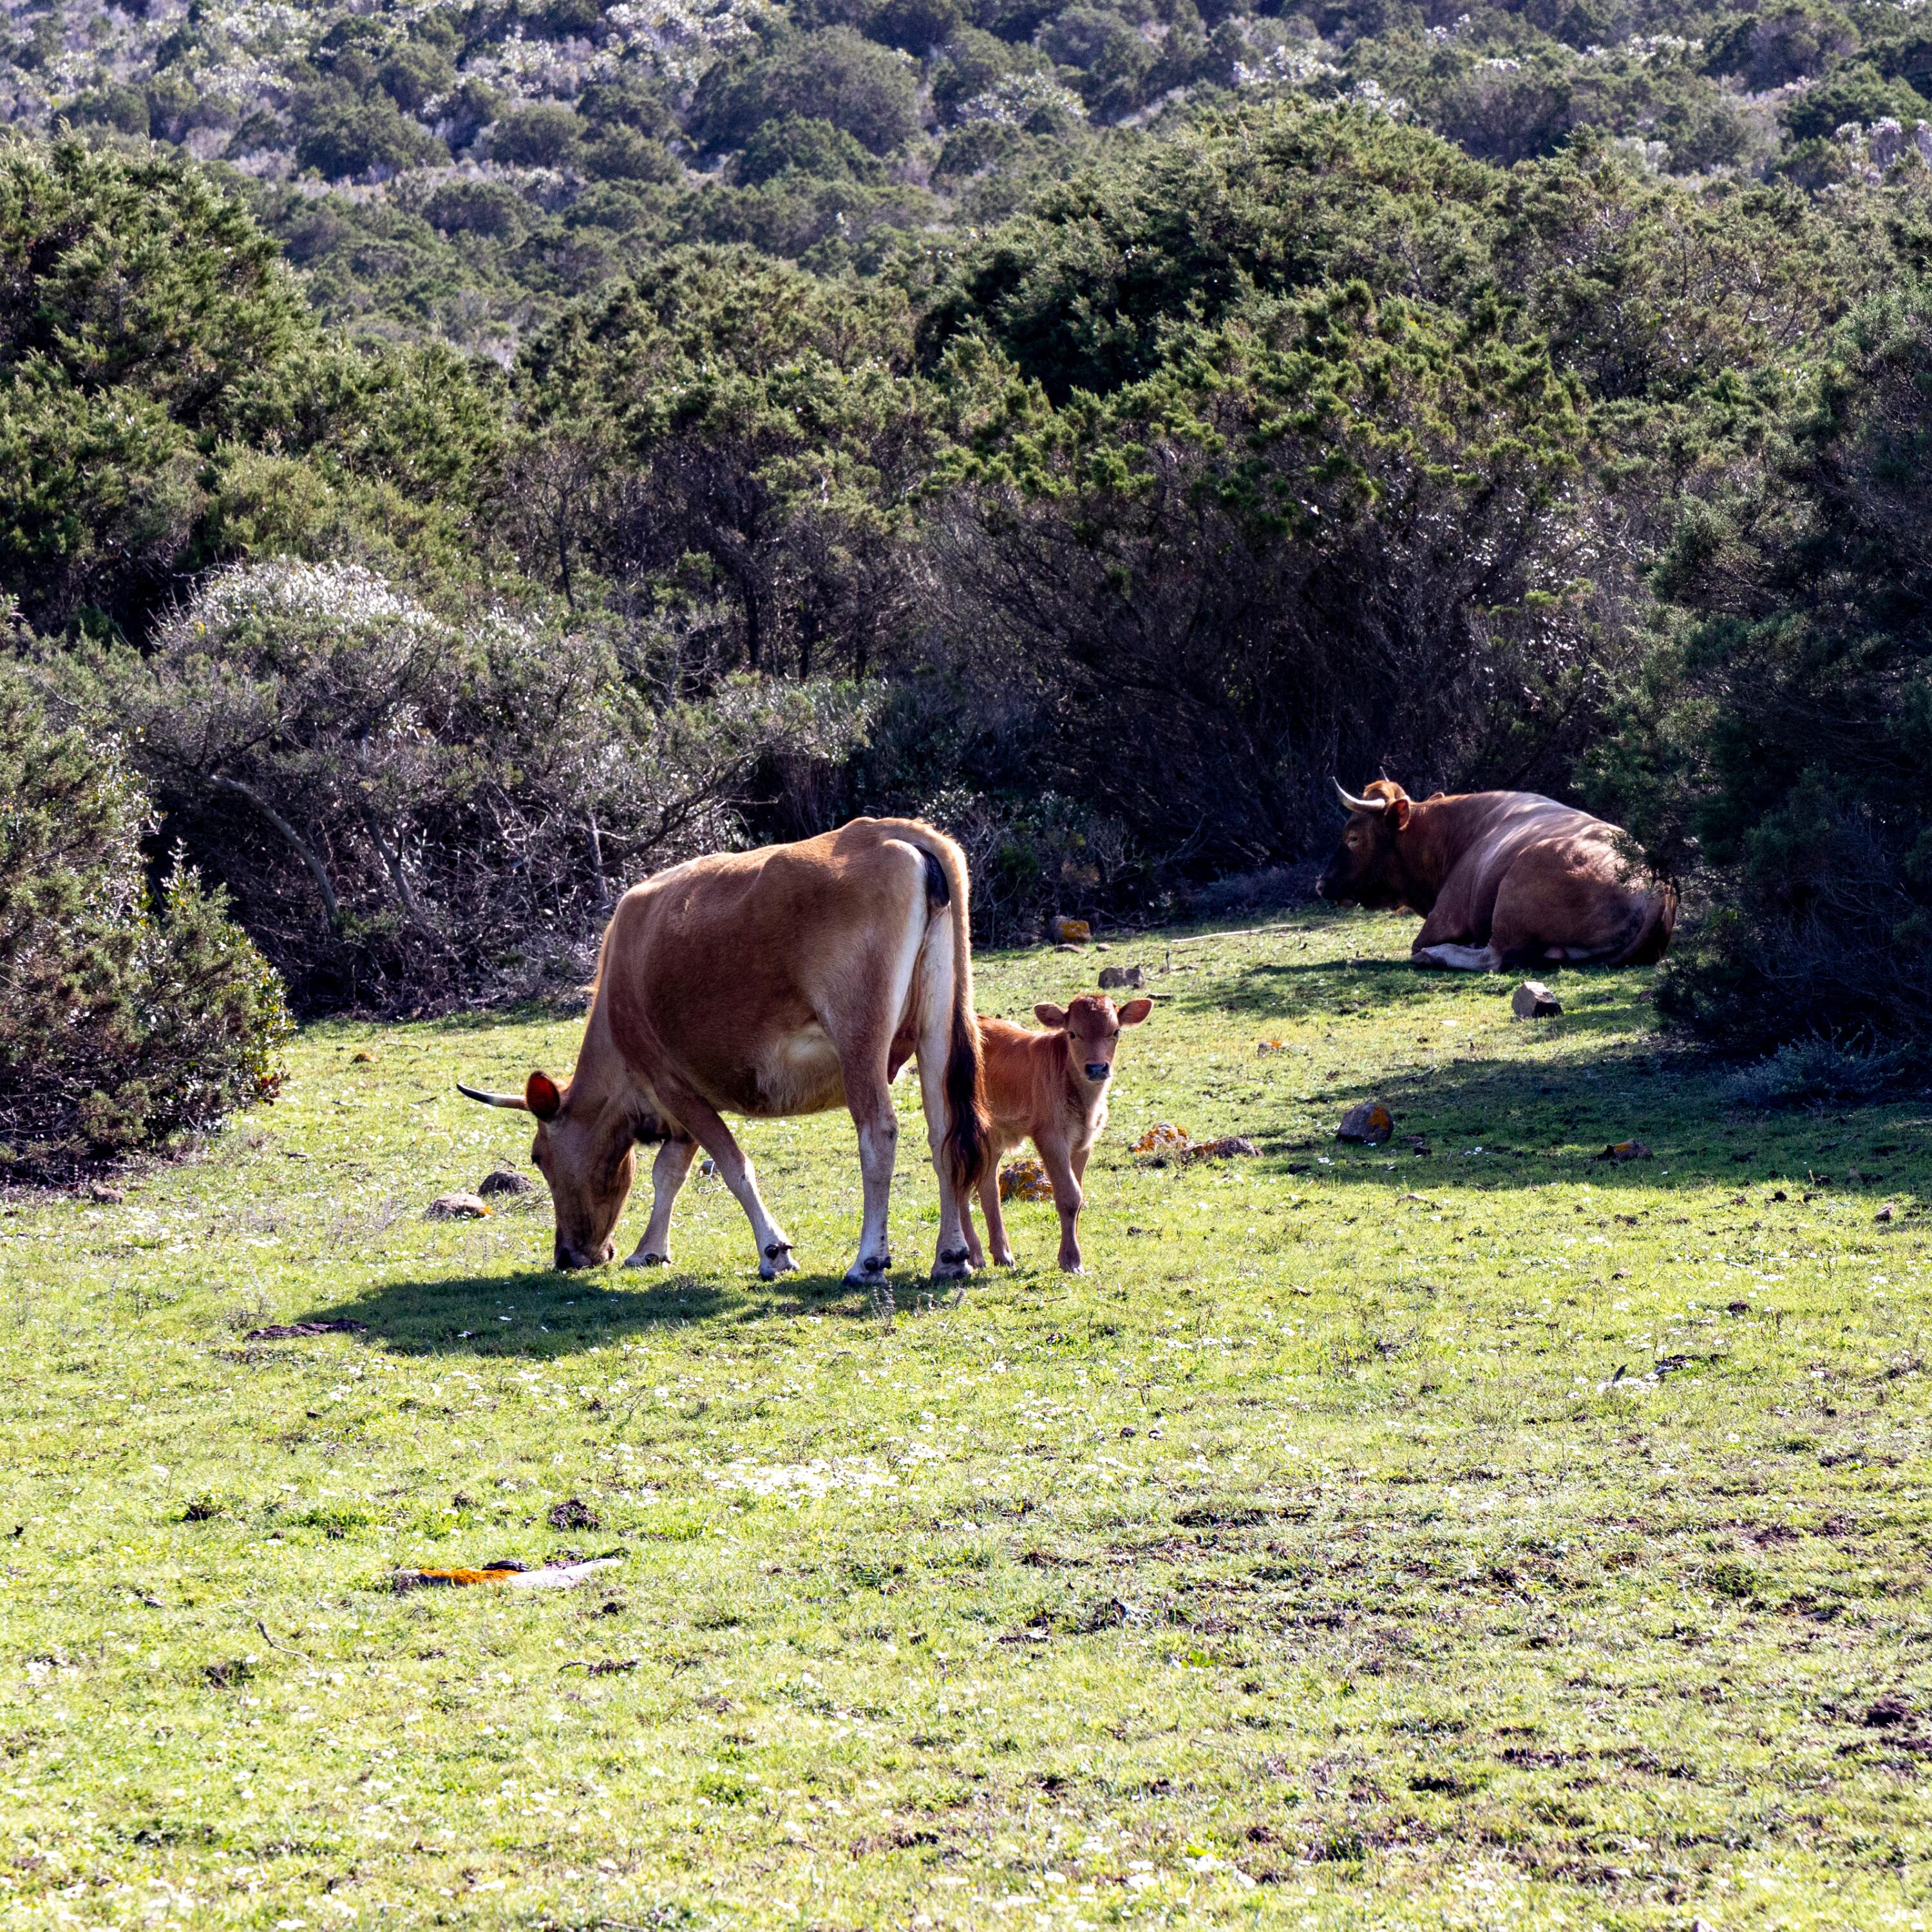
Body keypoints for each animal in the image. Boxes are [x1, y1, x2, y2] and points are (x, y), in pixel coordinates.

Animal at [456, 818, 990, 1282]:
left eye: (538, 1157)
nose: (567, 1257)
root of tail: (885, 829)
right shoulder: (681, 1106)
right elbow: (669, 1172)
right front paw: (649, 1249)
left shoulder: (673, 1085)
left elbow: (731, 1166)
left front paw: (773, 1251)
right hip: (937, 1028)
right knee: (944, 1135)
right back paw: (950, 1256)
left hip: (860, 1036)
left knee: (878, 1131)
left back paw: (867, 1262)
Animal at [961, 992, 1151, 1274]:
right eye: (1073, 1033)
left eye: (1115, 1032)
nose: (1097, 1068)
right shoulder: (1050, 1137)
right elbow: (1069, 1195)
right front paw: (1072, 1261)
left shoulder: (1083, 1142)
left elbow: (1078, 1195)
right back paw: (973, 1255)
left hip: (993, 1135)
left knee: (988, 1185)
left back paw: (1002, 1255)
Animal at [1317, 780, 1675, 971]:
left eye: (1353, 837)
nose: (1321, 884)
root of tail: (1654, 890)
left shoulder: (1441, 920)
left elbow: (1418, 945)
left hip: (1512, 899)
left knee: (1491, 958)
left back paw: (1437, 956)